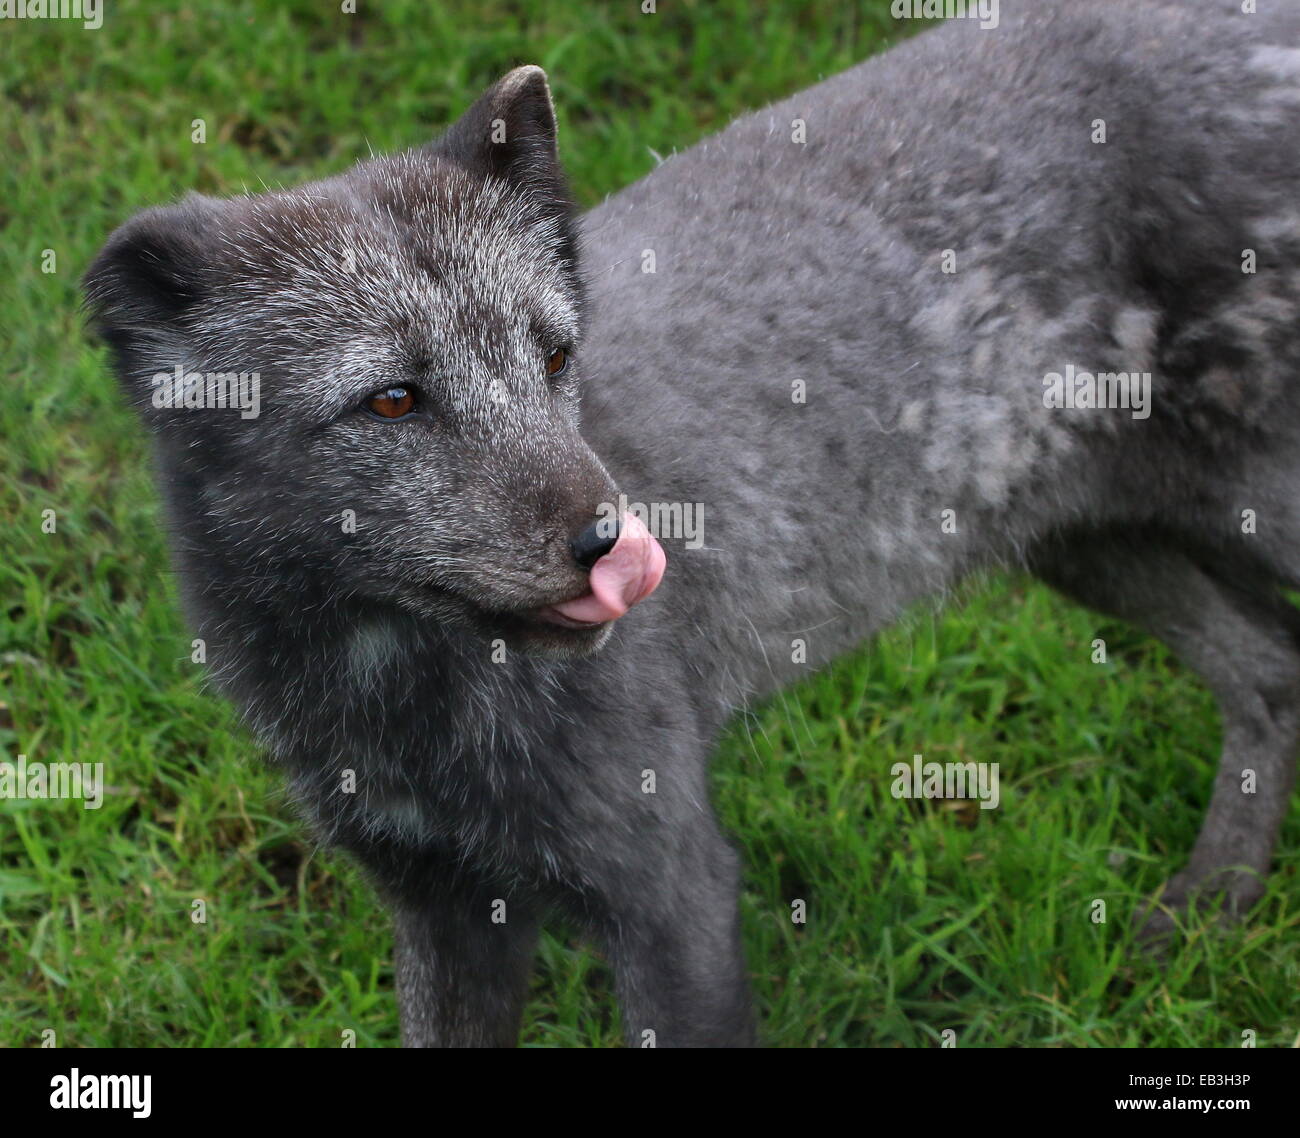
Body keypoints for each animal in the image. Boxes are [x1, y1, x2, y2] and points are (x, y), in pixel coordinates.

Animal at [85, 0, 1300, 1047]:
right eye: (391, 399)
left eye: (555, 357)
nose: (616, 548)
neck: (399, 698)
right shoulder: (441, 905)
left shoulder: (675, 892)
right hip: (1095, 546)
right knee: (1271, 677)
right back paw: (1205, 916)